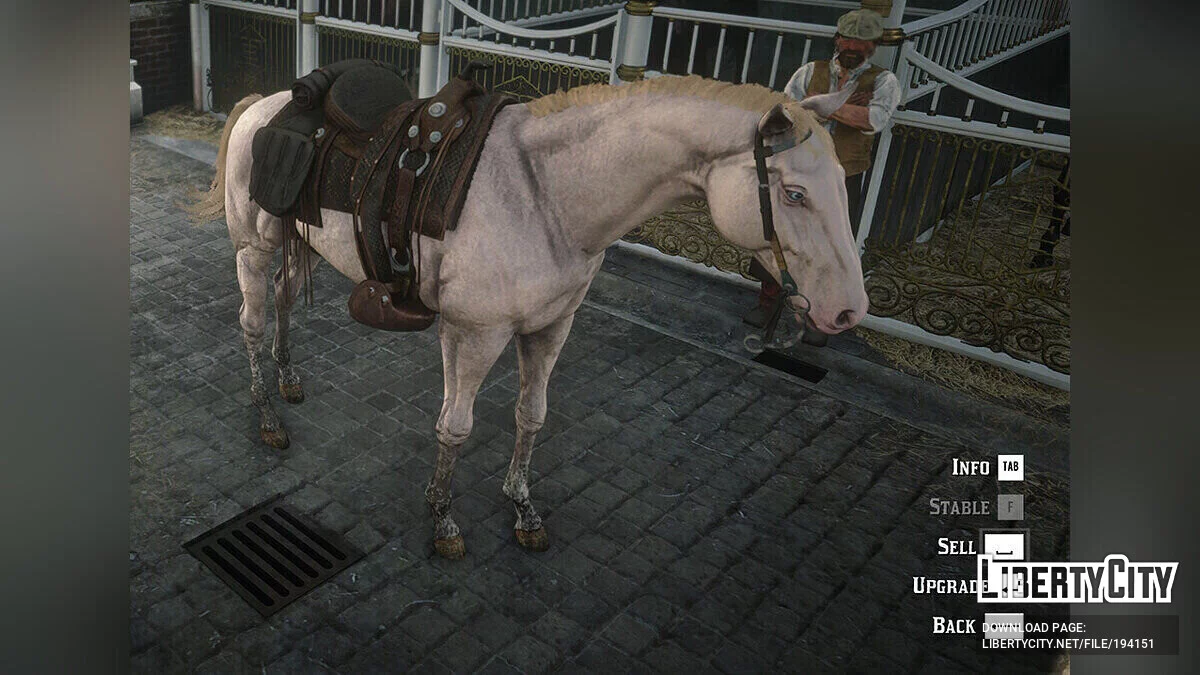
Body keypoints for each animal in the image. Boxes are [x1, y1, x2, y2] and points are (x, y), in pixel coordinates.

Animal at [195, 75, 869, 559]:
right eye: (793, 194)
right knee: (252, 320)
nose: (847, 311)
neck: (549, 196)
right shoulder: (474, 333)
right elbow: (456, 426)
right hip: (254, 247)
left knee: (284, 301)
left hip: (301, 242)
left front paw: (522, 508)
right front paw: (443, 519)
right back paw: (267, 417)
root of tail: (264, 104)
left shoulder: (552, 326)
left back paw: (288, 378)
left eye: (843, 182)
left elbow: (532, 416)